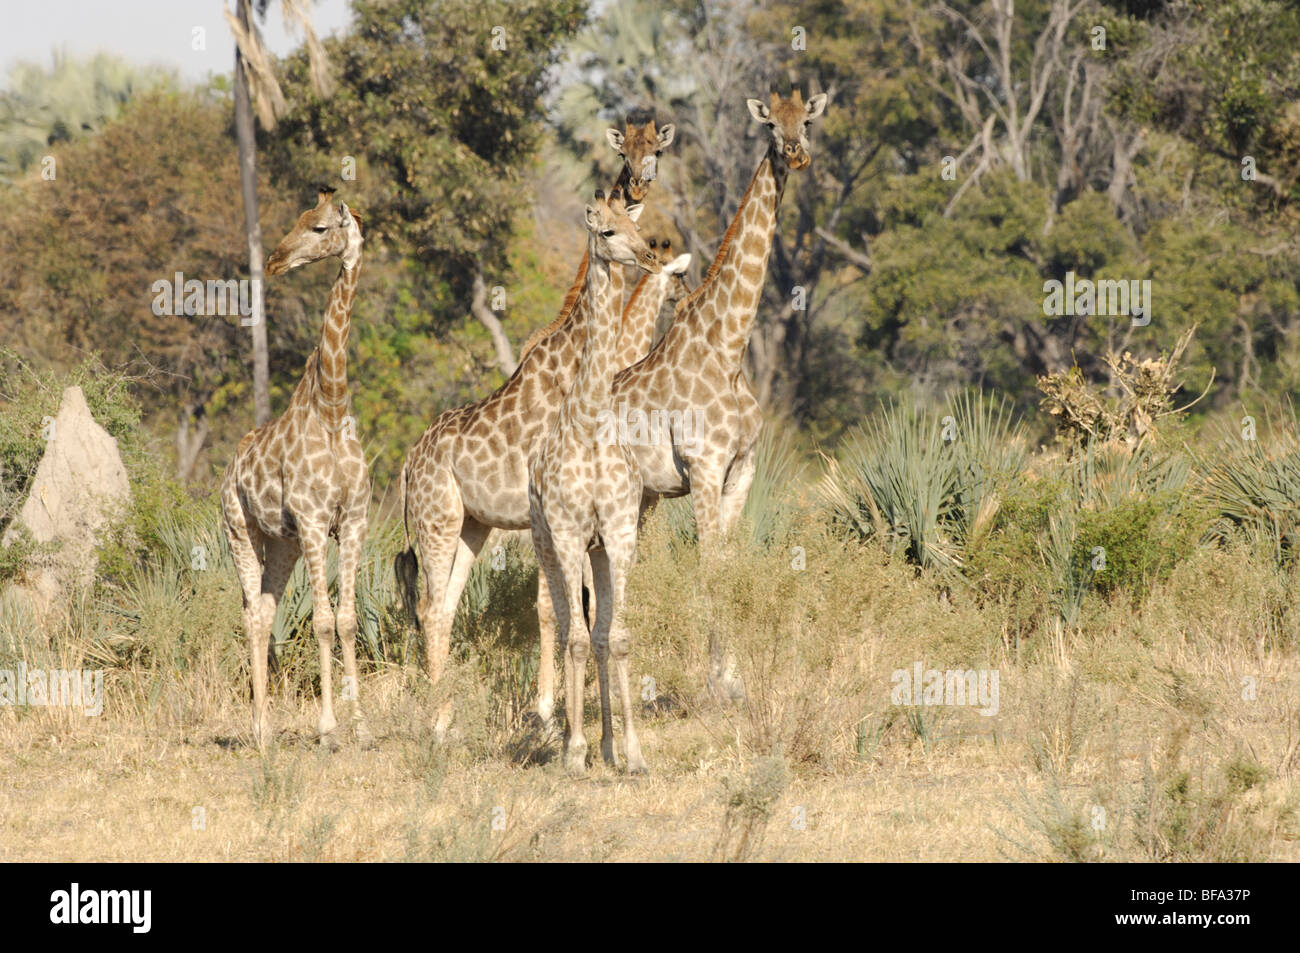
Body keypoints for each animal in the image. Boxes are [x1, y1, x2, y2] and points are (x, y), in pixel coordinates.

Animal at [220, 185, 369, 748]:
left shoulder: (352, 521)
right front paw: (328, 728)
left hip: (279, 542)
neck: (331, 407)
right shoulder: (311, 520)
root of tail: (229, 470)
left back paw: (265, 726)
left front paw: (360, 724)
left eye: (319, 228)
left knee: (264, 611)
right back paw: (259, 728)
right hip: (238, 529)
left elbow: (346, 621)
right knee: (249, 614)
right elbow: (323, 621)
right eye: (301, 219)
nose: (275, 260)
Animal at [395, 115, 676, 738]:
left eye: (658, 151)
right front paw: (548, 713)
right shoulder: (544, 514)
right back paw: (435, 721)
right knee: (428, 606)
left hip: (472, 526)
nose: (648, 257)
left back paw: (445, 716)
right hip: (437, 521)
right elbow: (555, 607)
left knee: (443, 606)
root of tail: (406, 465)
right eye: (612, 229)